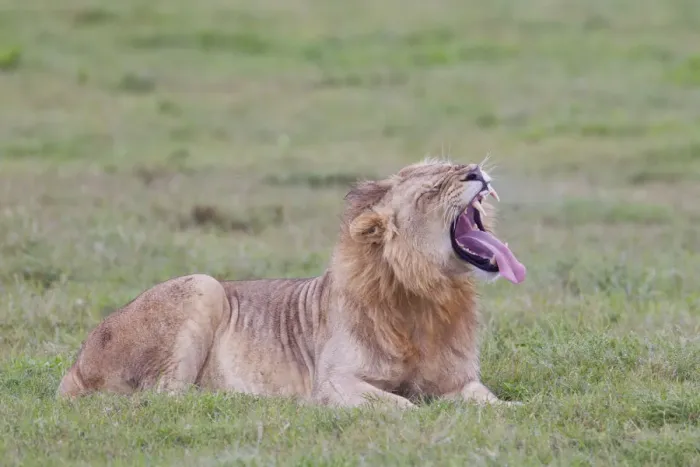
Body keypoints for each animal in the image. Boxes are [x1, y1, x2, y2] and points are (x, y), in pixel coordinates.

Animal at [57, 159, 526, 408]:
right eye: (431, 189)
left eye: (454, 166)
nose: (475, 170)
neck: (430, 295)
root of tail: (74, 366)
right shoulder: (334, 381)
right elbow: (402, 404)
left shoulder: (458, 382)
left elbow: (489, 402)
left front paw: (515, 409)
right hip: (203, 286)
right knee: (167, 396)